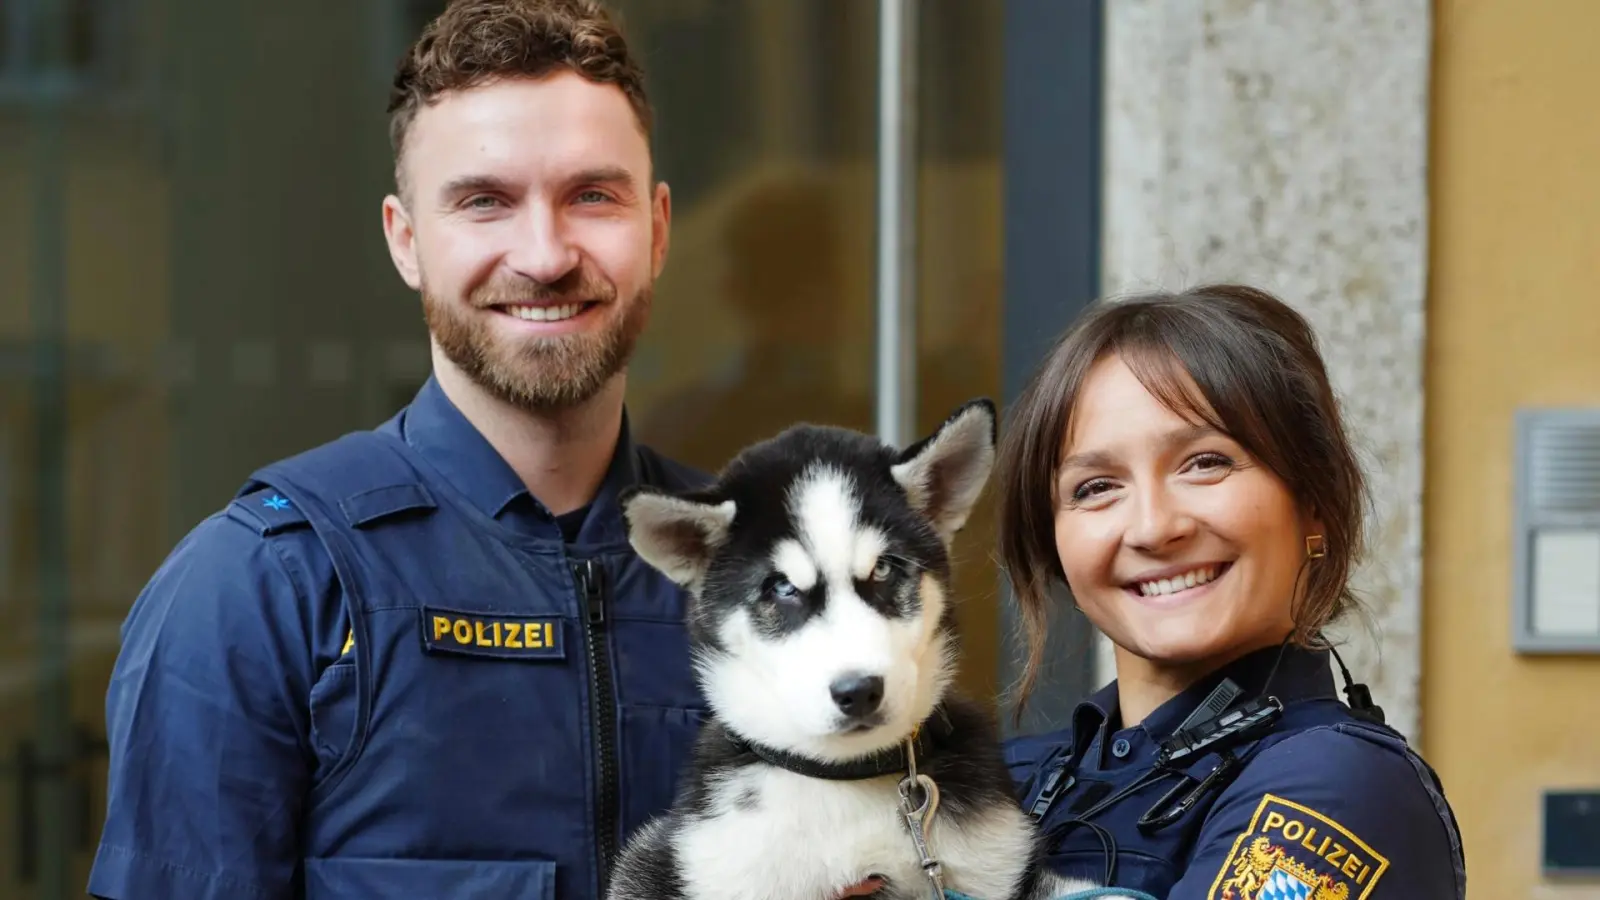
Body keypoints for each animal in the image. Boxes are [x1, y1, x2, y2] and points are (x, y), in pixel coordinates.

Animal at [611, 398, 1126, 896]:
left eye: (883, 569)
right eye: (782, 589)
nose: (858, 691)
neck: (846, 779)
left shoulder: (996, 862)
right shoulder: (669, 864)